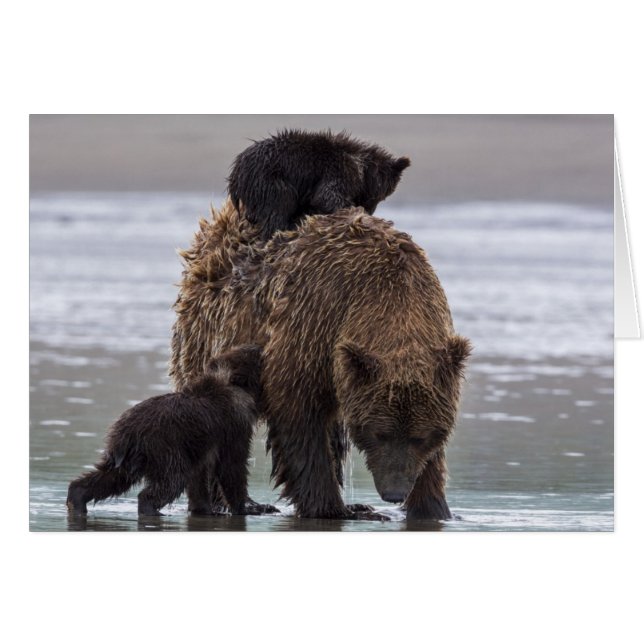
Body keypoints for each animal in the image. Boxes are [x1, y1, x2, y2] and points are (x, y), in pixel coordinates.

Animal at [66, 344, 274, 517]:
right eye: (256, 356)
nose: (258, 345)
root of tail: (127, 433)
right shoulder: (232, 426)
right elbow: (231, 466)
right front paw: (247, 508)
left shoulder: (199, 445)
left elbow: (199, 476)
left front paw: (205, 508)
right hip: (163, 447)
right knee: (171, 480)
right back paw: (152, 508)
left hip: (124, 454)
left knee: (112, 477)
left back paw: (77, 498)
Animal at [170, 201, 471, 521]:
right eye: (379, 434)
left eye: (421, 436)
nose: (394, 493)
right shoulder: (312, 322)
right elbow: (300, 417)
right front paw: (330, 507)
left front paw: (432, 507)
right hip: (206, 341)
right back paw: (233, 503)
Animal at [227, 129, 411, 240]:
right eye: (378, 196)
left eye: (383, 197)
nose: (369, 210)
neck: (362, 168)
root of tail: (237, 170)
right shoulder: (337, 171)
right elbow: (327, 197)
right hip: (270, 178)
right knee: (279, 205)